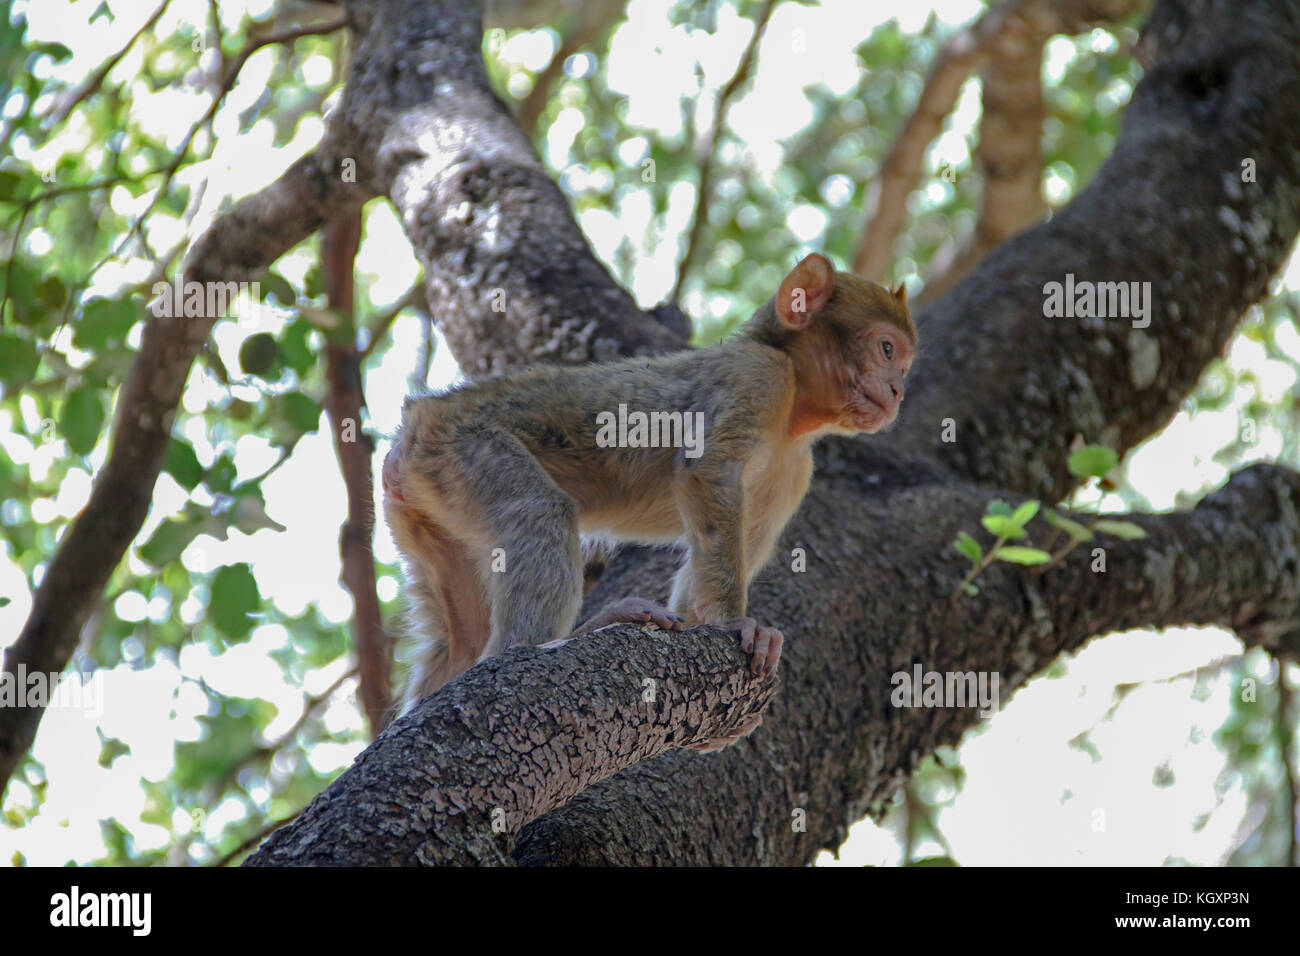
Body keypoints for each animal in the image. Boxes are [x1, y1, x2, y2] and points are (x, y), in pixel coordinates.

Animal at [379, 251, 920, 738]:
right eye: (886, 350)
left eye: (902, 364)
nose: (897, 391)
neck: (793, 415)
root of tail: (415, 423)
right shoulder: (757, 376)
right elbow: (706, 473)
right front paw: (734, 623)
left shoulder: (795, 469)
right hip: (458, 444)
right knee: (540, 512)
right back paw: (555, 640)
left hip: (427, 497)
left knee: (464, 636)